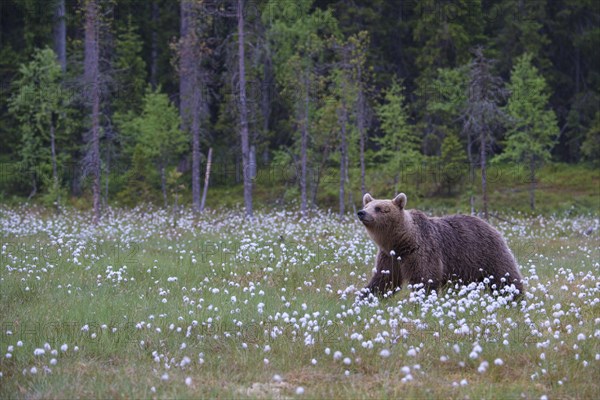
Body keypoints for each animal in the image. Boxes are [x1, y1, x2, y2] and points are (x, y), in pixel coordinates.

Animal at [358, 192, 524, 298]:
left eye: (378, 208)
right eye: (367, 206)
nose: (361, 213)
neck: (400, 242)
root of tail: (490, 225)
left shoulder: (422, 250)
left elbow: (424, 278)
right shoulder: (389, 256)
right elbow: (385, 279)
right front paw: (365, 296)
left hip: (487, 253)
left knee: (505, 276)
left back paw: (515, 298)